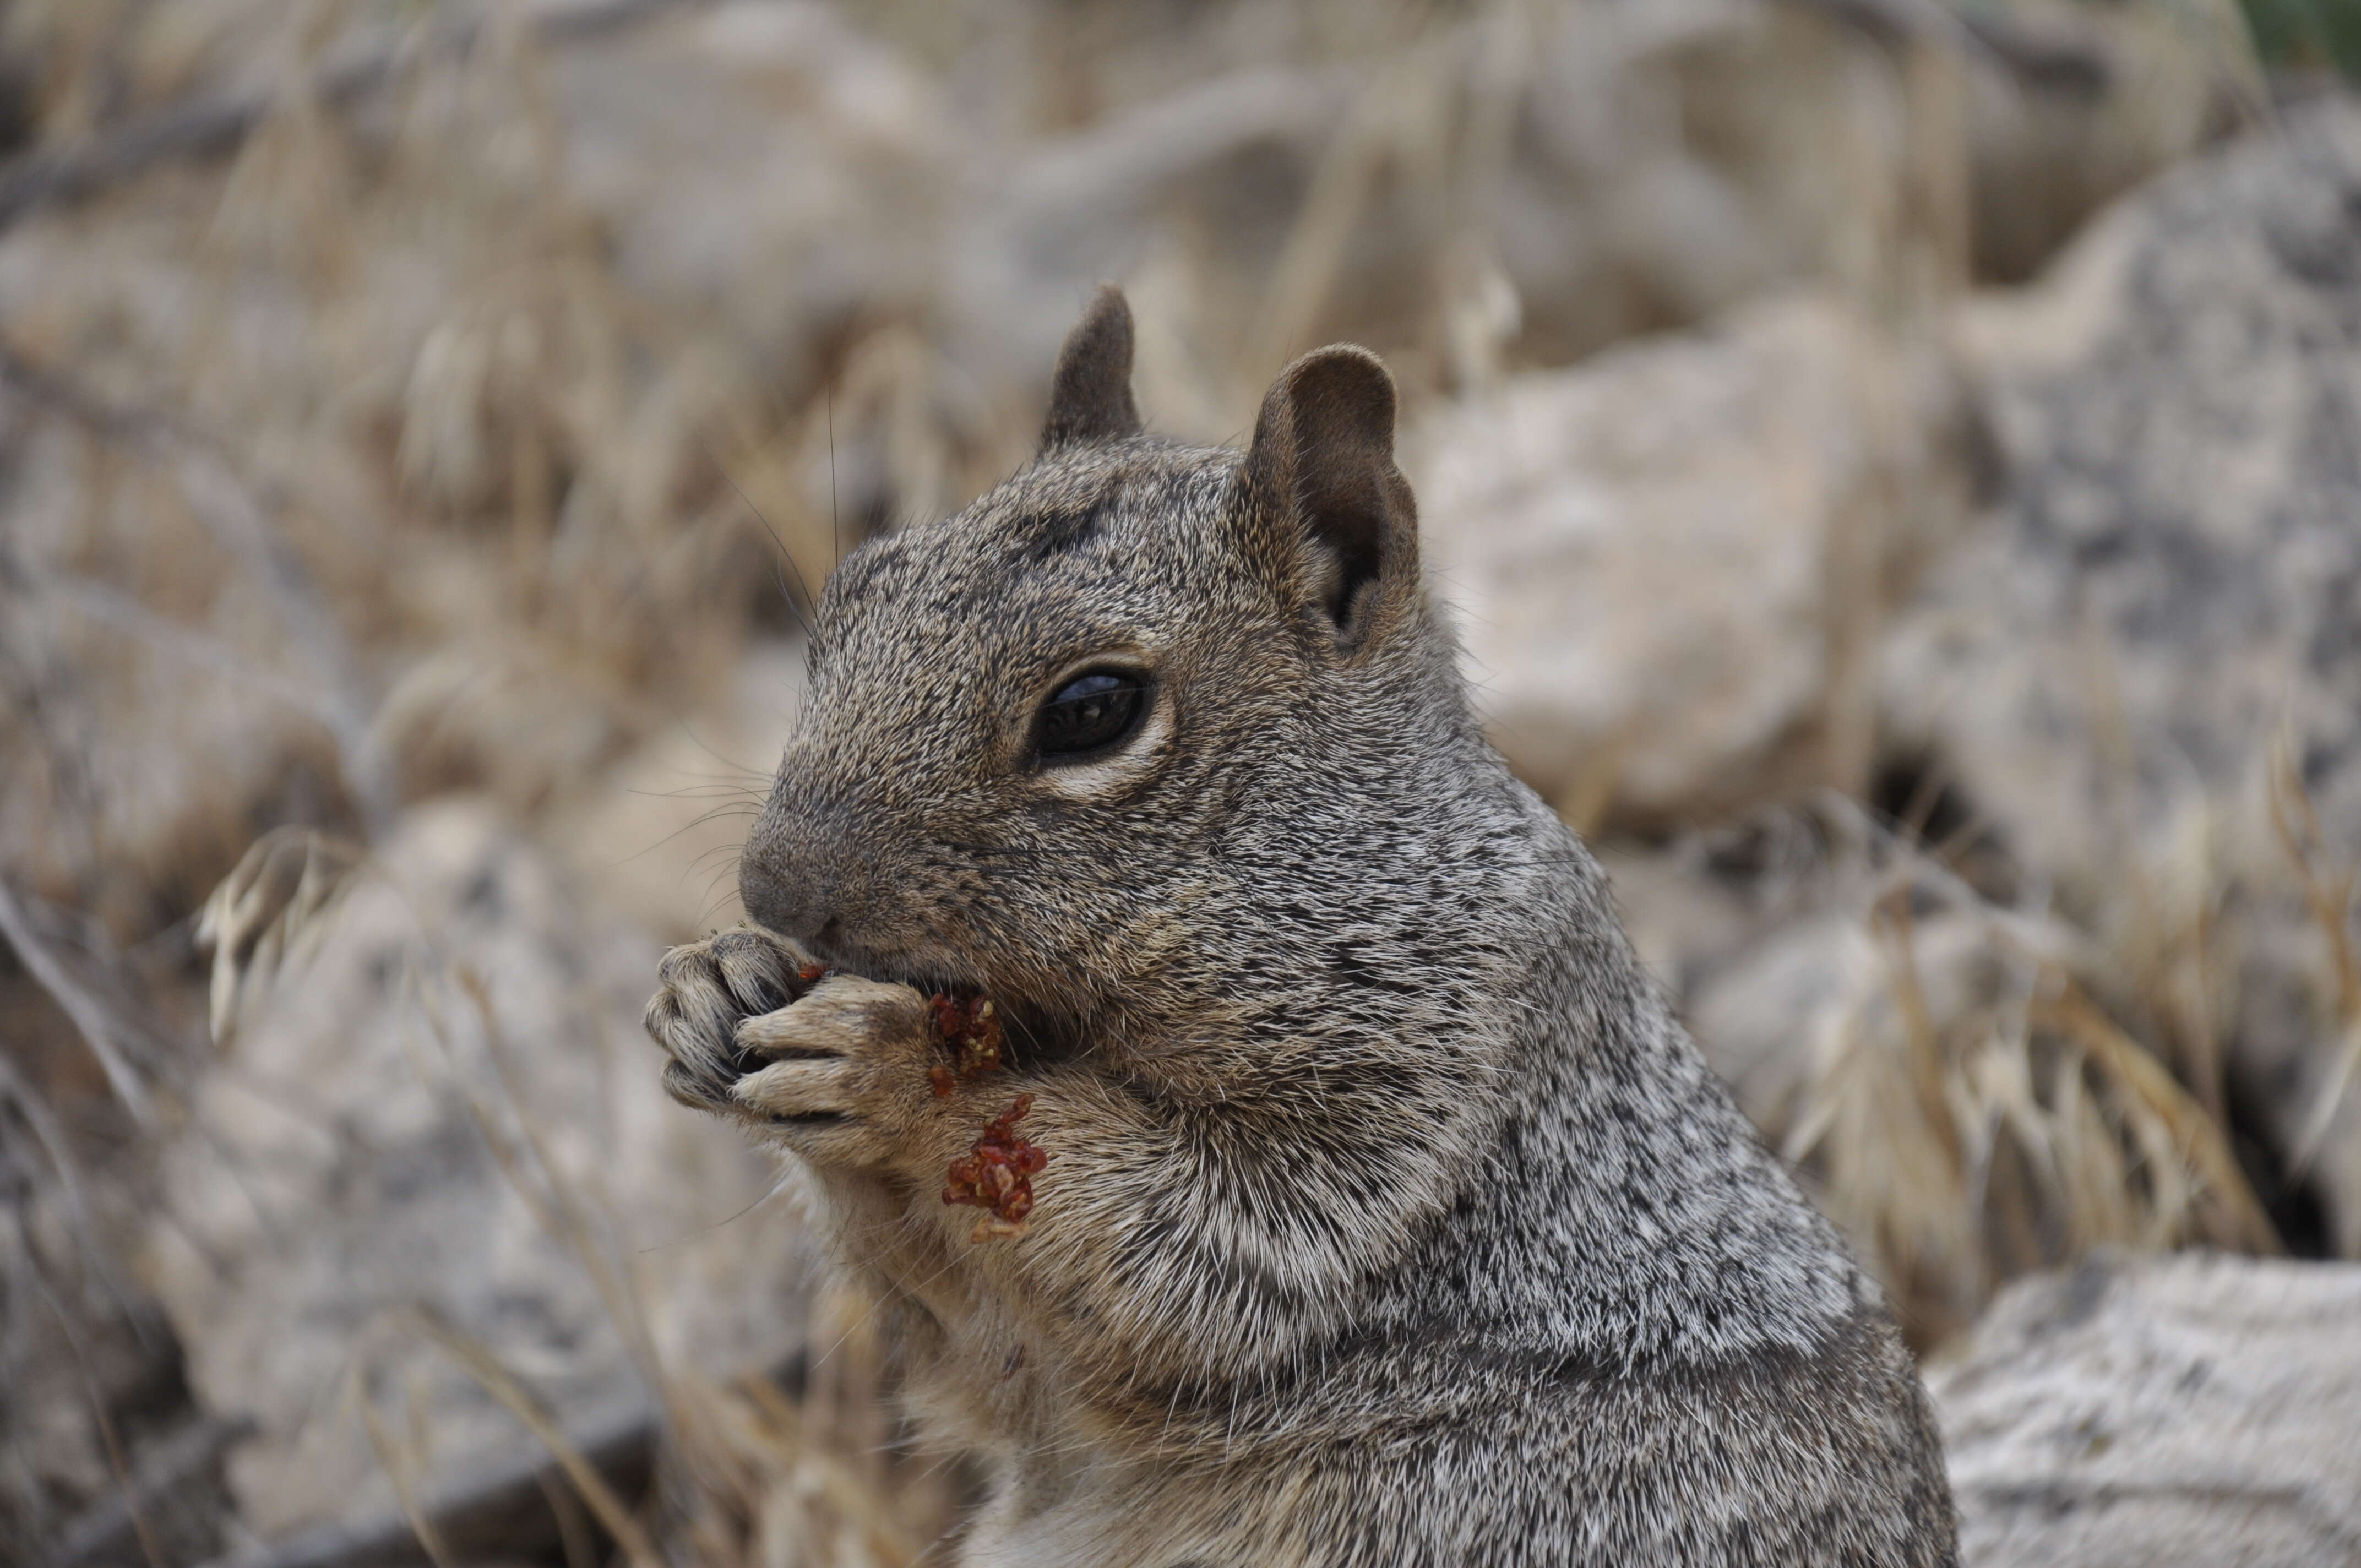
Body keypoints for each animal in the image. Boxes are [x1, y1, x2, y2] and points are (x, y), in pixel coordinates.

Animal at [642, 288, 1955, 1558]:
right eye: (852, 590)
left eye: (1093, 709)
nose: (774, 886)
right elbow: (968, 1341)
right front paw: (710, 982)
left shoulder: (1418, 1086)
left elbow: (1198, 1245)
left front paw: (892, 1067)